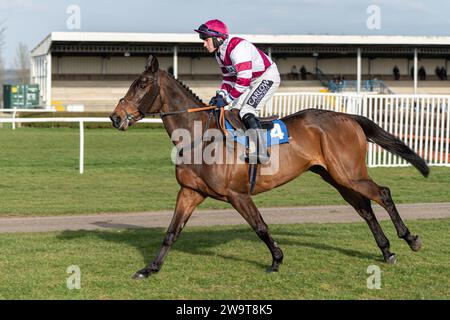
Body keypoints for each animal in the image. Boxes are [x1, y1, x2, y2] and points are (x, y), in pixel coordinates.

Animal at [109, 55, 428, 280]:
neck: (200, 136)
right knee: (364, 208)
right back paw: (386, 250)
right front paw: (149, 268)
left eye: (141, 84)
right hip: (336, 177)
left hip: (349, 173)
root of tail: (347, 116)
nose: (115, 117)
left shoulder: (237, 194)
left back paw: (410, 239)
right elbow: (171, 232)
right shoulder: (190, 192)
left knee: (383, 194)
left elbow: (260, 226)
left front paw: (276, 260)